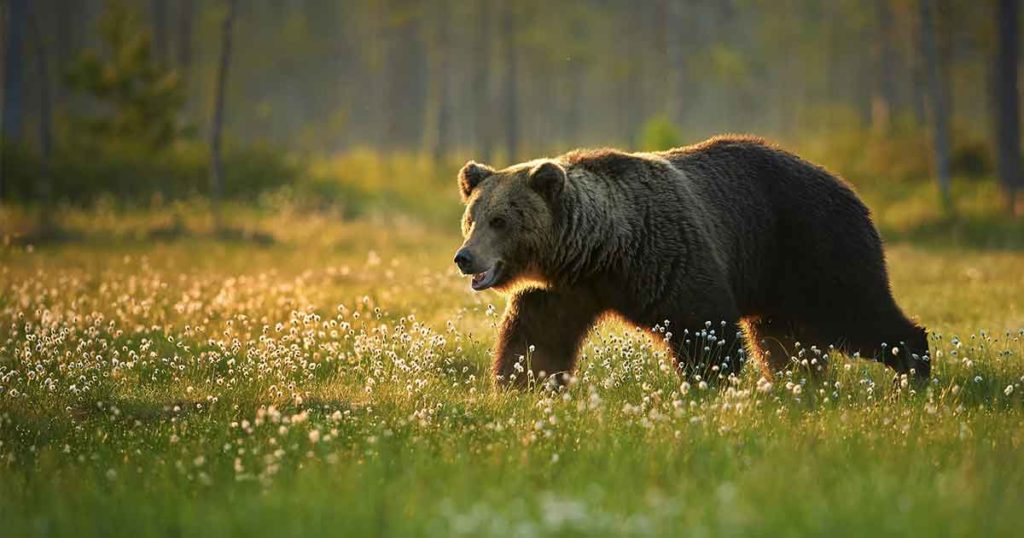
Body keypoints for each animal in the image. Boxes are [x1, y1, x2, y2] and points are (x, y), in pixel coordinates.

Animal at [453, 135, 930, 387]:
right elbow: (536, 338)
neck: (600, 251)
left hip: (815, 245)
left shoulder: (667, 257)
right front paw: (521, 383)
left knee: (859, 312)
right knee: (784, 341)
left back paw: (914, 371)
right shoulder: (563, 289)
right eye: (471, 218)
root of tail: (849, 187)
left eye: (500, 220)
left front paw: (706, 385)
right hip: (777, 281)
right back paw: (798, 386)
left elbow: (703, 329)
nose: (464, 257)